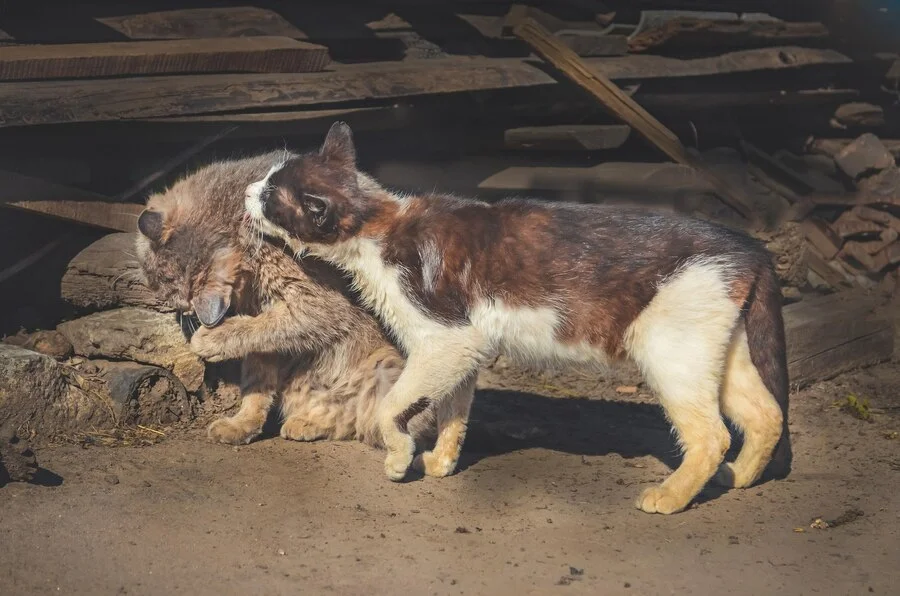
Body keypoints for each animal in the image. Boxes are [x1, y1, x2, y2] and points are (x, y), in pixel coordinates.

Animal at [135, 151, 442, 454]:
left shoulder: (320, 305)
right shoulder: (266, 331)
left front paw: (211, 339)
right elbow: (257, 372)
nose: (180, 312)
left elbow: (256, 328)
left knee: (372, 424)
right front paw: (243, 423)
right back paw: (307, 420)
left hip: (392, 370)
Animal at [243, 123, 792, 516]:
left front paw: (399, 459)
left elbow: (391, 407)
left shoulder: (445, 339)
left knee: (713, 435)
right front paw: (442, 462)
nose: (247, 190)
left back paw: (671, 497)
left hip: (668, 350)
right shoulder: (465, 345)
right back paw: (740, 478)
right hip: (718, 351)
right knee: (767, 415)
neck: (380, 227)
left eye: (270, 195)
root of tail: (748, 246)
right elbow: (454, 409)